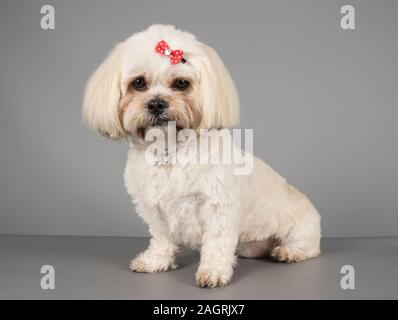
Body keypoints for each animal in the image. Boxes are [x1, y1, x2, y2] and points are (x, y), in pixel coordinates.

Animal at [83, 24, 320, 288]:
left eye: (181, 83)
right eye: (139, 83)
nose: (156, 103)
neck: (170, 150)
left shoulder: (218, 208)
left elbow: (216, 244)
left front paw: (213, 272)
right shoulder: (154, 210)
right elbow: (162, 238)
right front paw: (156, 261)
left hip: (302, 228)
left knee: (306, 247)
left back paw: (287, 252)